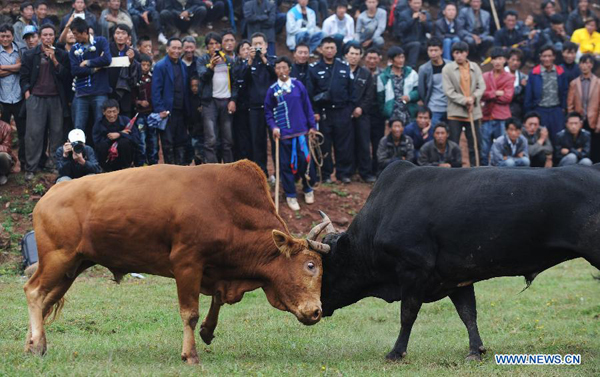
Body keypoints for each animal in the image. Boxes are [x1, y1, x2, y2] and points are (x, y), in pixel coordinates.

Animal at [24, 160, 332, 362]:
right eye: (310, 266)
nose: (317, 311)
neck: (230, 207)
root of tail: (51, 194)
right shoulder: (187, 264)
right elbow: (189, 313)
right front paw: (190, 353)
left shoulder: (215, 269)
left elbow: (217, 299)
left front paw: (208, 329)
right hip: (58, 259)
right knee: (34, 292)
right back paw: (37, 344)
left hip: (73, 266)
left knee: (46, 300)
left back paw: (31, 343)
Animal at [322, 160, 600, 360]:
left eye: (322, 269)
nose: (315, 310)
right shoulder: (455, 276)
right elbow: (468, 313)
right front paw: (476, 350)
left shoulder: (413, 269)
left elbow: (407, 314)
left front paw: (396, 353)